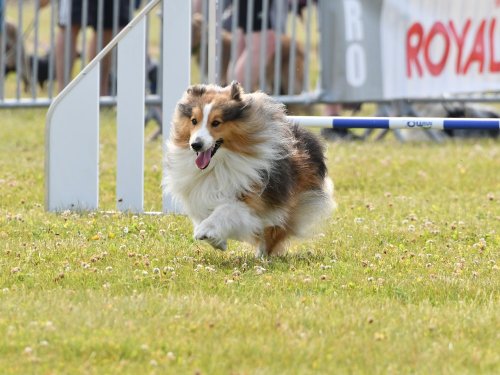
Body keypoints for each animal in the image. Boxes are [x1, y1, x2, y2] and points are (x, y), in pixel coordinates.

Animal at [165, 81, 336, 258]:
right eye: (194, 121)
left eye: (216, 122)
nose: (196, 145)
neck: (218, 165)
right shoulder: (201, 194)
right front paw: (218, 241)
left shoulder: (254, 201)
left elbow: (226, 210)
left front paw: (205, 230)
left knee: (274, 232)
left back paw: (262, 255)